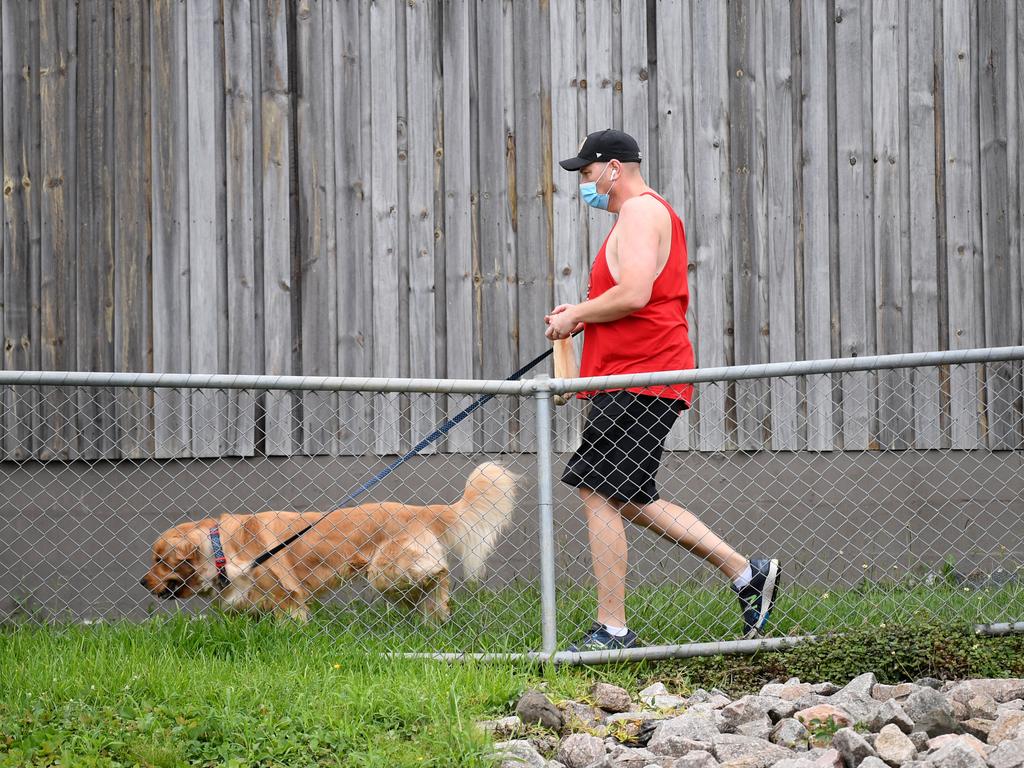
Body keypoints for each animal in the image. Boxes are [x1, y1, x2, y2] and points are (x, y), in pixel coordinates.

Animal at [140, 462, 516, 626]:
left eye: (159, 560)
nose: (142, 582)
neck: (220, 550)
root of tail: (419, 510)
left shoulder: (287, 595)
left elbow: (290, 622)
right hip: (393, 582)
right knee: (429, 594)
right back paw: (434, 620)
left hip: (387, 569)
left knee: (438, 571)